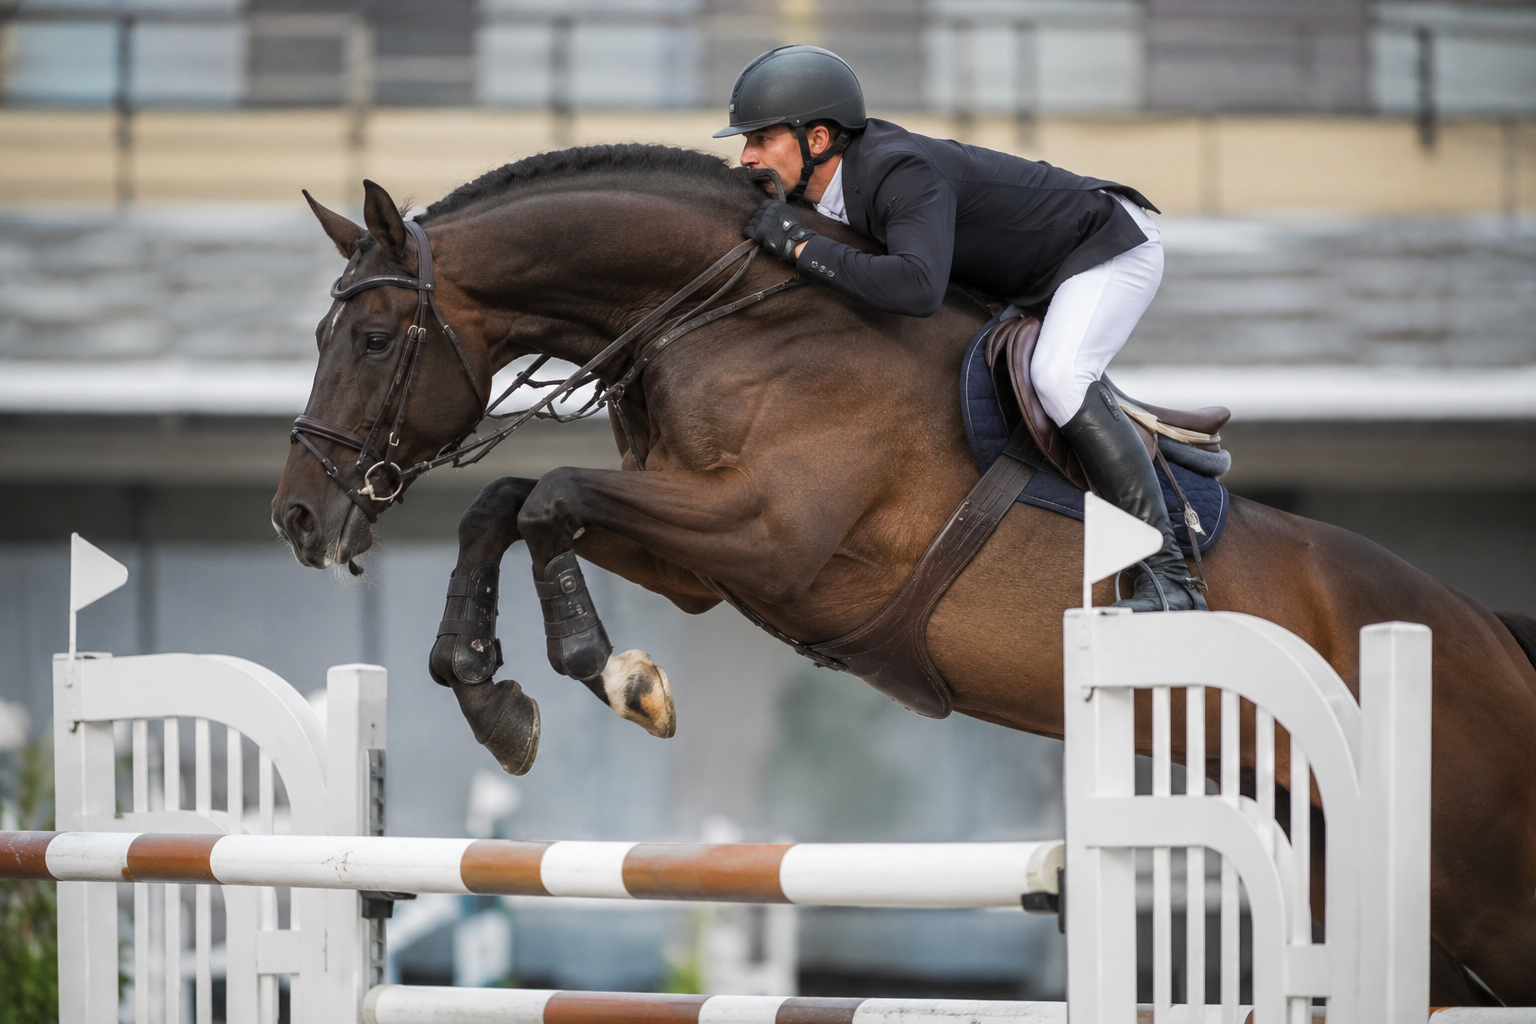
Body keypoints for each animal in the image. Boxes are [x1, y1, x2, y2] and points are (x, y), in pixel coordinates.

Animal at [271, 145, 1536, 1006]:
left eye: (372, 341)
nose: (298, 518)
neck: (729, 322)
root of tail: (1482, 631)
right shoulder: (702, 562)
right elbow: (513, 504)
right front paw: (488, 686)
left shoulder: (765, 533)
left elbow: (549, 499)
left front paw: (610, 675)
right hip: (1342, 855)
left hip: (1480, 877)